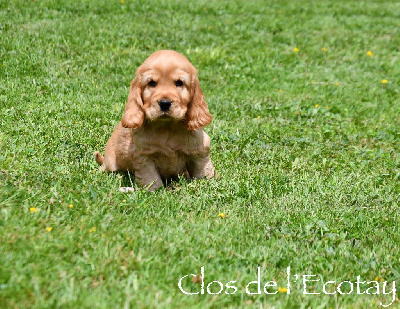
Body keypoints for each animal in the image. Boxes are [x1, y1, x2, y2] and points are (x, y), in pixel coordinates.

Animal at [94, 50, 216, 190]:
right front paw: (154, 191)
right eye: (151, 83)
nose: (165, 103)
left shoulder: (199, 150)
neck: (167, 127)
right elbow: (150, 178)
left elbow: (203, 170)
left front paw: (206, 183)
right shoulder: (143, 156)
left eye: (179, 82)